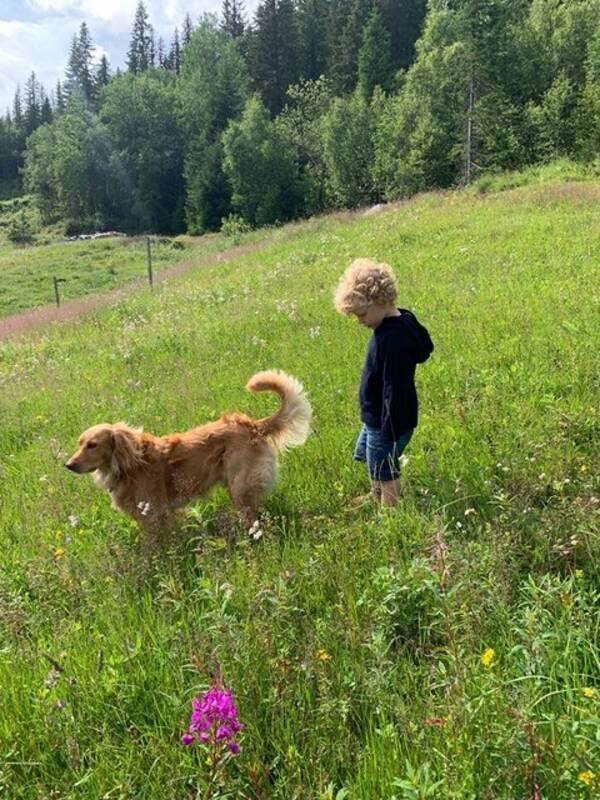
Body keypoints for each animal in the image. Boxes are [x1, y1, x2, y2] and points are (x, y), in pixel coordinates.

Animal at [66, 374, 312, 536]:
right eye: (80, 444)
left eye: (92, 445)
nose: (68, 465)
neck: (127, 465)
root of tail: (253, 425)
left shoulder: (153, 516)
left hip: (240, 489)